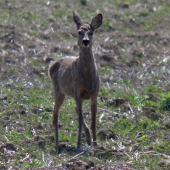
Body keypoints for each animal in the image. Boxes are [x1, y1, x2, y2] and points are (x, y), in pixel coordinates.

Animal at [48, 10, 103, 152]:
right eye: (79, 31)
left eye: (91, 32)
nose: (85, 41)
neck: (87, 78)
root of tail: (51, 65)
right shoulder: (77, 91)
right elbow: (79, 119)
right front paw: (78, 145)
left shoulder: (94, 93)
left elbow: (93, 121)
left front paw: (96, 145)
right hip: (58, 90)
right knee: (55, 114)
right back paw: (57, 145)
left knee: (75, 110)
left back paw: (88, 139)